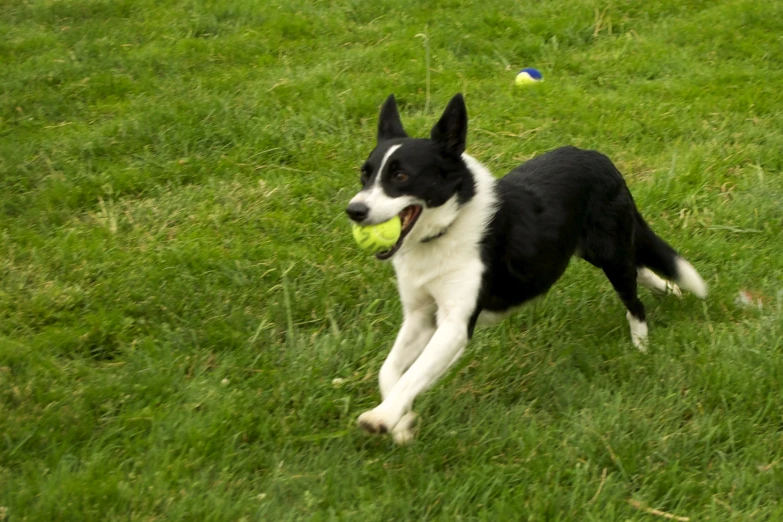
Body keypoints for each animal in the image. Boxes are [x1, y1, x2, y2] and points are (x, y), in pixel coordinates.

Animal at [346, 91, 708, 440]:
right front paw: (402, 423)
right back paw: (668, 289)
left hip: (610, 254)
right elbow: (389, 371)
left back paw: (641, 346)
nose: (354, 211)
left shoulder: (455, 324)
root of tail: (600, 158)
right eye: (364, 174)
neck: (446, 227)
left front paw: (382, 418)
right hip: (596, 250)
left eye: (401, 176)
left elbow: (414, 374)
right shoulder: (420, 316)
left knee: (634, 299)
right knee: (639, 266)